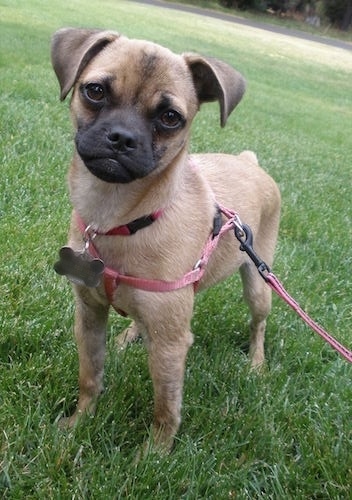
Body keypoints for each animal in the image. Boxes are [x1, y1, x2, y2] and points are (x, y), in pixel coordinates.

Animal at [51, 26, 280, 450]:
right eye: (95, 91)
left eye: (170, 118)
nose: (121, 137)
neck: (120, 218)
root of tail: (249, 163)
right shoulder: (89, 316)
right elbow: (90, 377)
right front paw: (79, 421)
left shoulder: (172, 346)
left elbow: (165, 408)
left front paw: (154, 455)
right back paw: (129, 337)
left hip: (259, 284)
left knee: (258, 325)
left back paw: (256, 363)